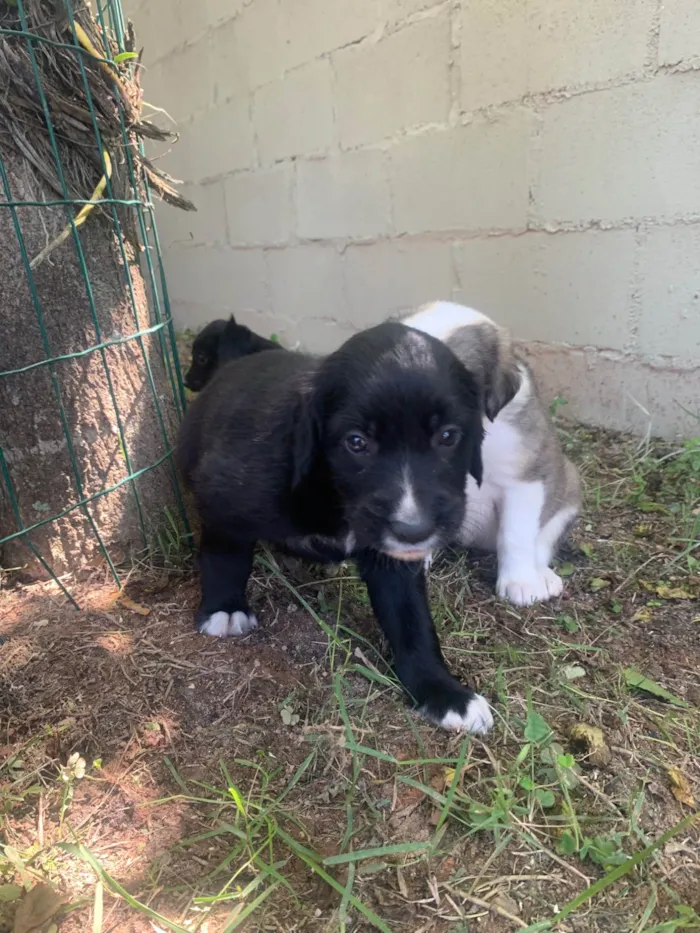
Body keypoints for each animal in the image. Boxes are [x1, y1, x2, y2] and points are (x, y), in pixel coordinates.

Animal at [178, 320, 494, 736]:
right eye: (356, 442)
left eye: (448, 436)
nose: (414, 530)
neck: (331, 490)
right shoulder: (223, 493)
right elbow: (224, 553)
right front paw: (224, 607)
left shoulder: (393, 560)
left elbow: (412, 620)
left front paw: (442, 691)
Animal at [402, 298, 584, 604]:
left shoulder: (523, 481)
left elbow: (516, 536)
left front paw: (520, 582)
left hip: (568, 486)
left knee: (541, 541)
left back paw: (541, 575)